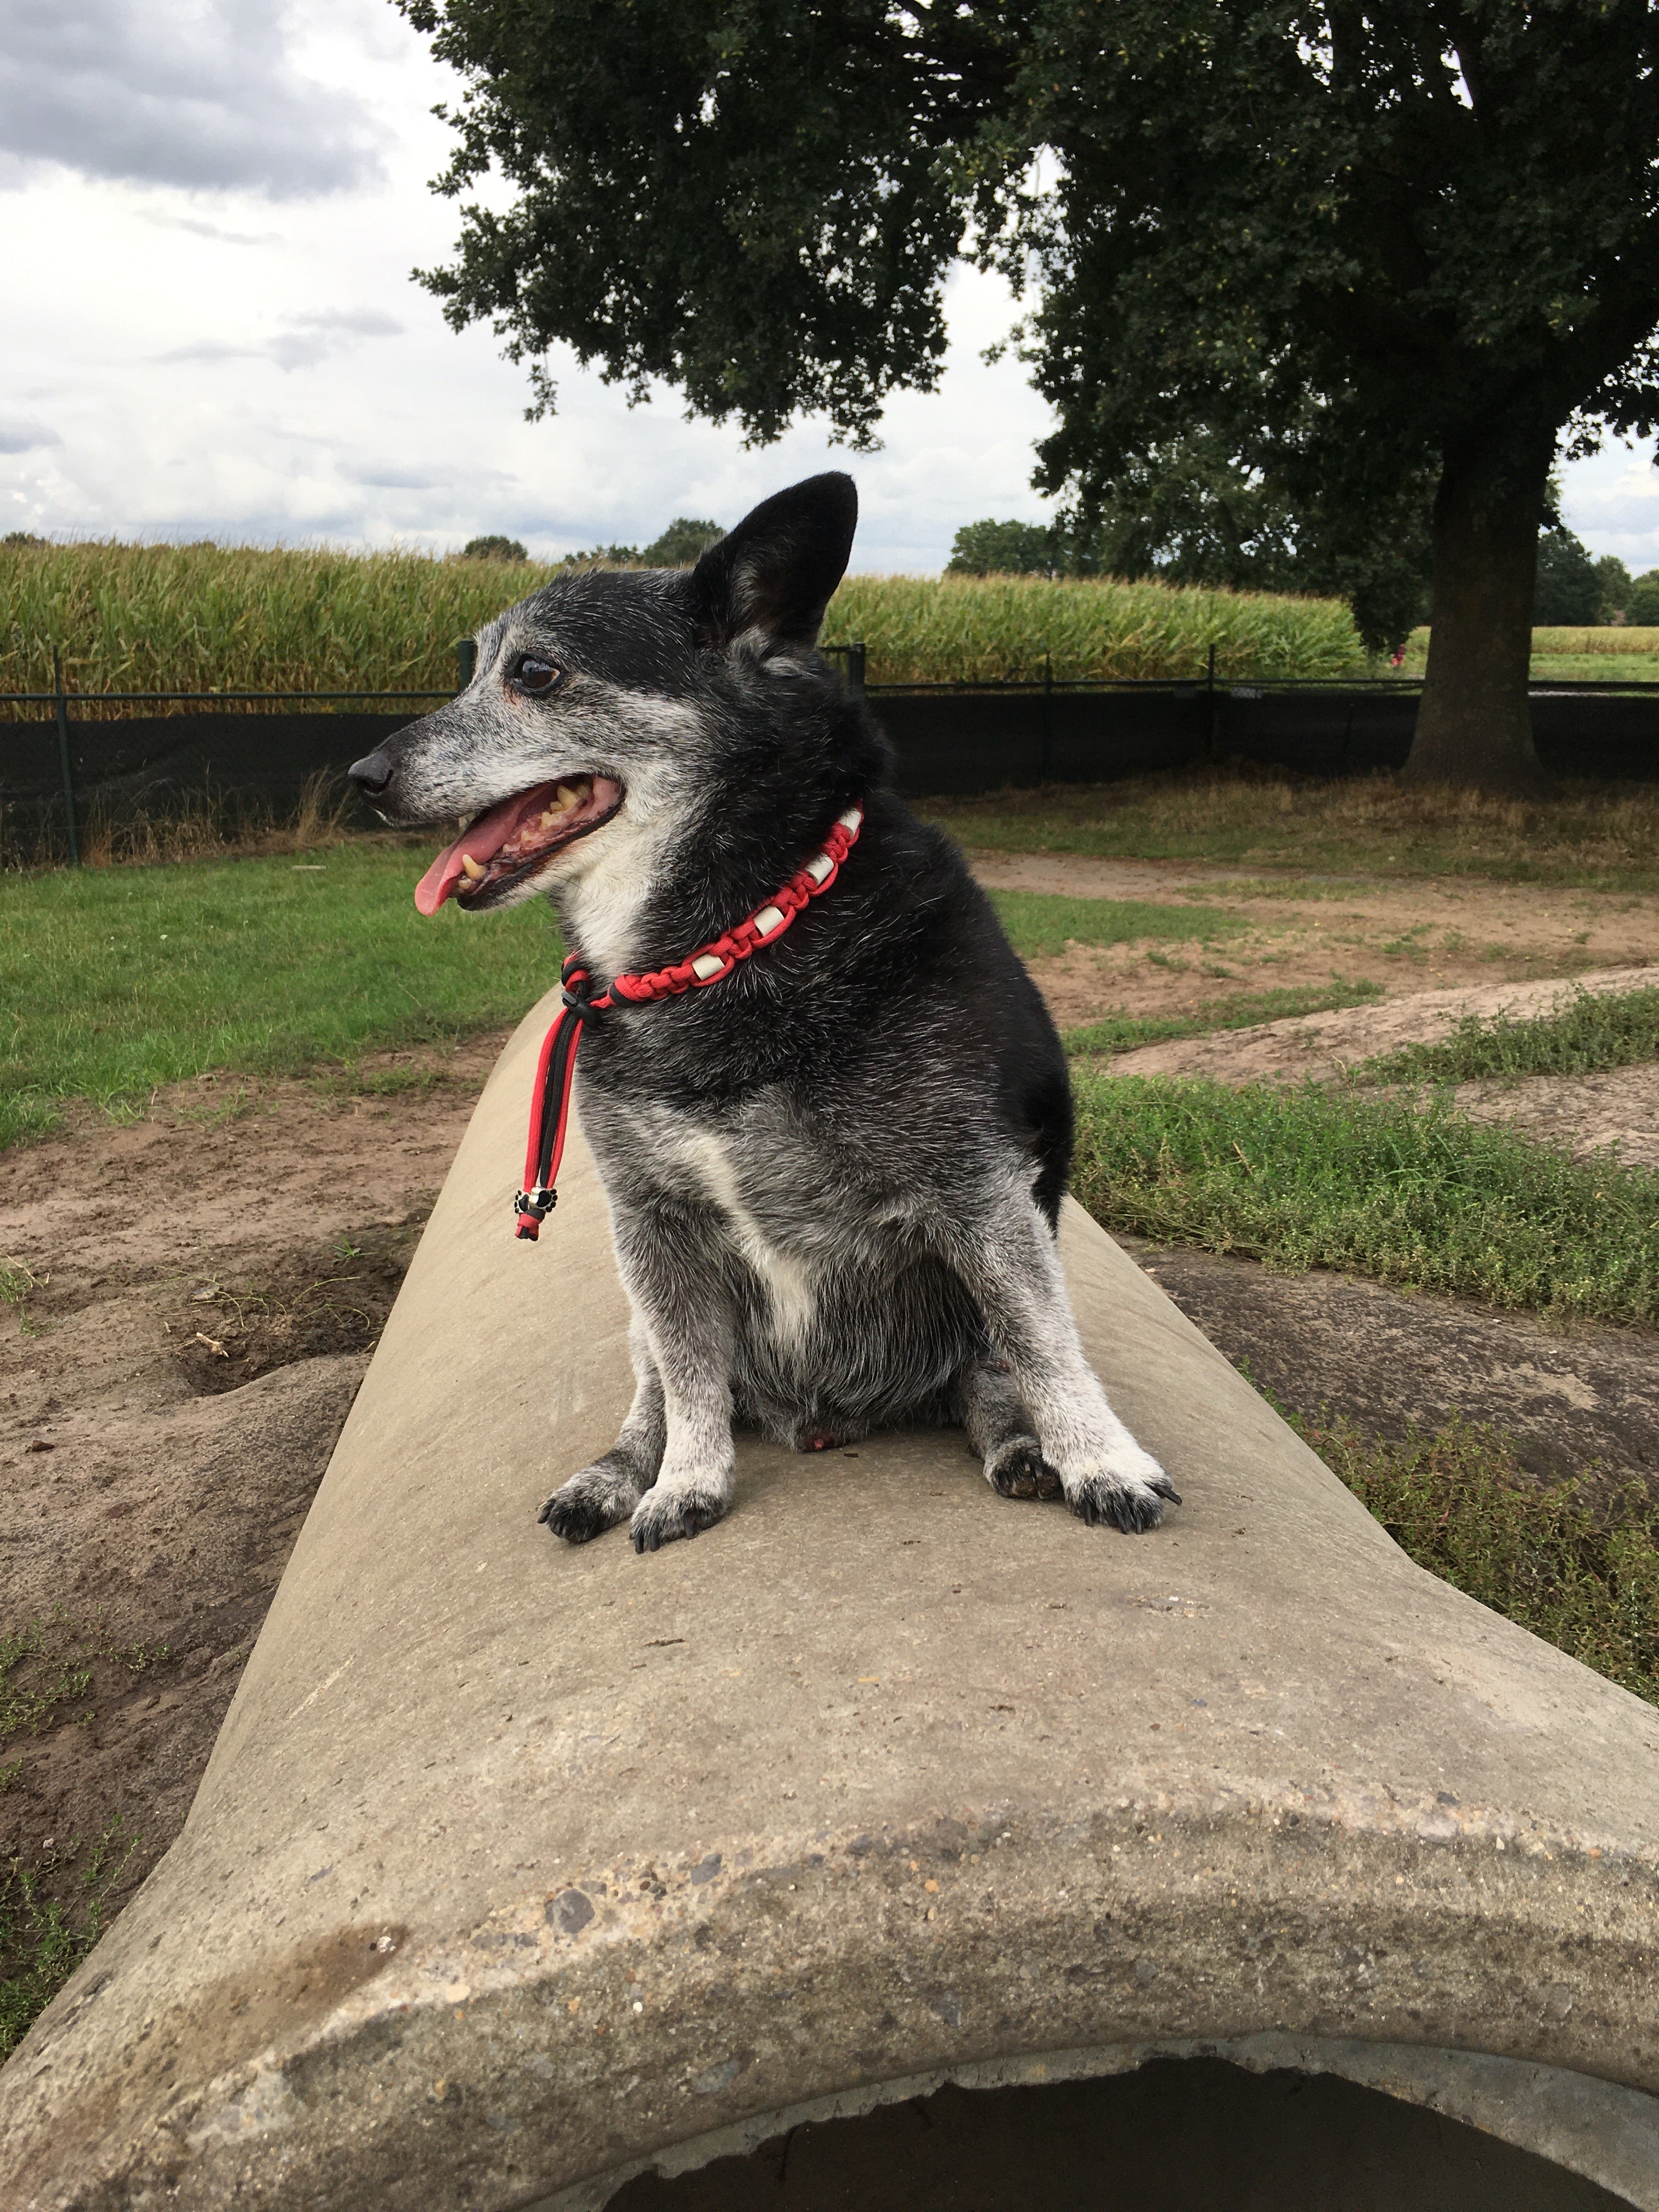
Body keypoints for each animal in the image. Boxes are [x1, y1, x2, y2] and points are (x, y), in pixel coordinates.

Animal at [352, 475, 1186, 1557]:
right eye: (473, 667)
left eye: (534, 671)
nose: (362, 779)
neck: (729, 945)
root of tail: (827, 1417)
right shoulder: (650, 1222)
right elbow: (691, 1383)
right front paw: (687, 1484)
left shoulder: (981, 1194)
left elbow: (1045, 1346)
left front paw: (1101, 1461)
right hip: (640, 1310)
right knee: (654, 1392)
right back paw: (612, 1476)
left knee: (993, 1376)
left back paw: (1020, 1448)